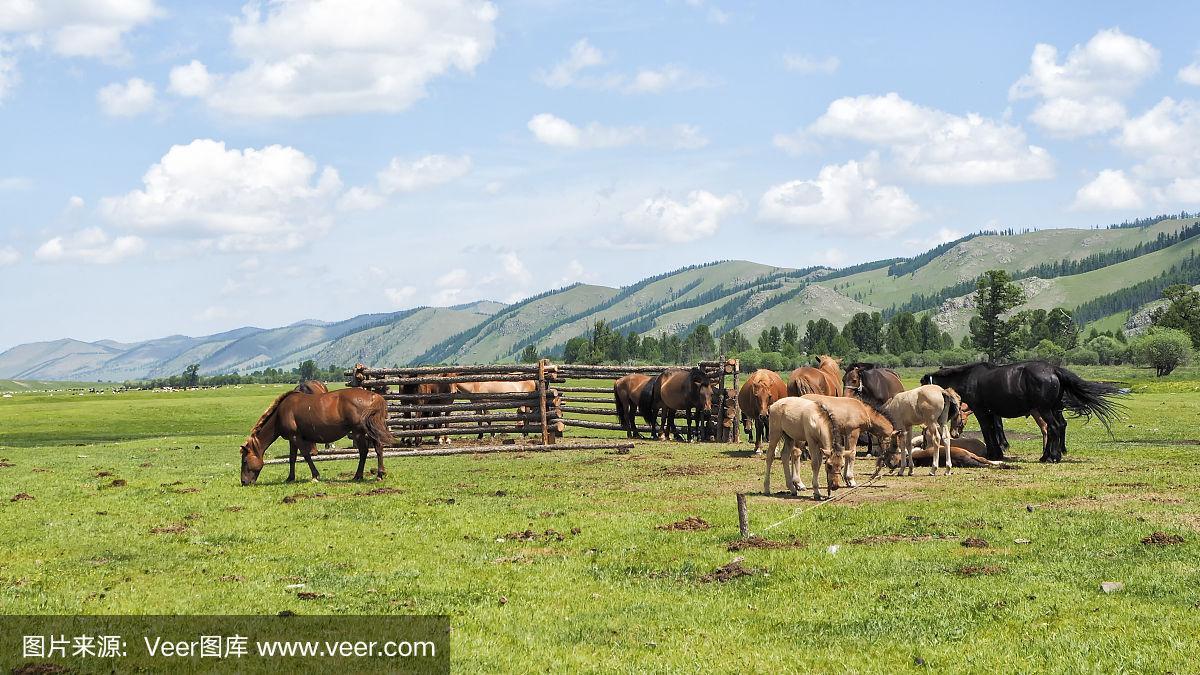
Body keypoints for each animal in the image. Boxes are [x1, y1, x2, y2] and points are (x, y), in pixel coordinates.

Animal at [239, 388, 394, 485]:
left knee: (364, 451)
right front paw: (290, 478)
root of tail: (374, 396)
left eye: (245, 461)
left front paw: (315, 476)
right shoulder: (292, 440)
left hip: (359, 432)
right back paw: (377, 474)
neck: (280, 413)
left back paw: (362, 475)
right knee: (377, 449)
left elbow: (306, 456)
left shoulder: (295, 437)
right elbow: (292, 459)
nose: (244, 482)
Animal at [921, 361, 1123, 462]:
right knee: (1057, 427)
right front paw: (999, 452)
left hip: (1045, 410)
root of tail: (1054, 370)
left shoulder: (982, 412)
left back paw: (1052, 457)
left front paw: (994, 453)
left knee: (1054, 428)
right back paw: (1049, 455)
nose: (954, 434)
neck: (969, 377)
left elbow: (988, 432)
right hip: (1053, 409)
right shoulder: (991, 412)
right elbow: (994, 430)